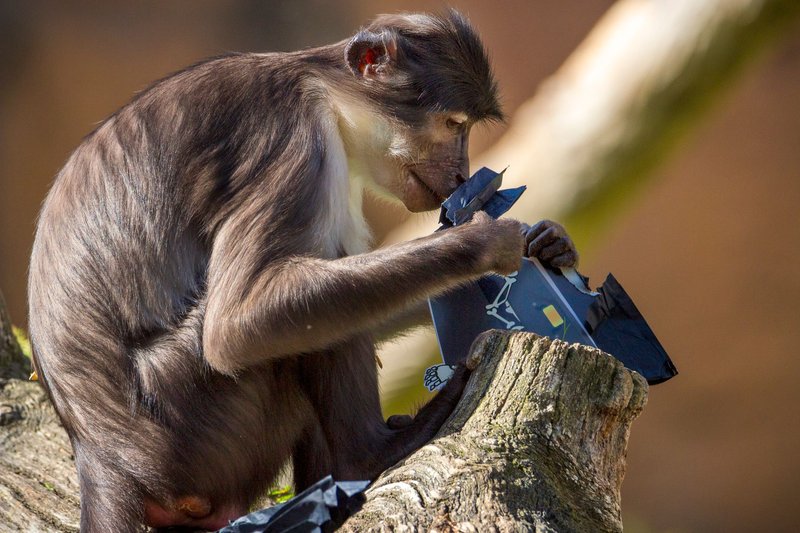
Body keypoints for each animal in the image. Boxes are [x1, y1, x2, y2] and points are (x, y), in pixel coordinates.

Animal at [27, 11, 578, 531]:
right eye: (452, 124)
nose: (463, 173)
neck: (323, 88)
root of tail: (100, 459)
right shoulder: (293, 138)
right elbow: (236, 328)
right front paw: (483, 243)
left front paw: (548, 244)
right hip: (189, 417)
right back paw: (372, 455)